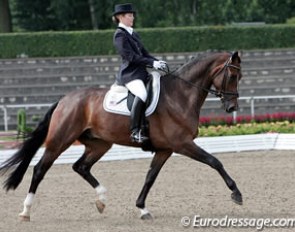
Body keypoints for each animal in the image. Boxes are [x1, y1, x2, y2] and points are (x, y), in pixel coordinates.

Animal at [0, 50, 243, 221]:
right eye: (232, 75)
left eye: (239, 76)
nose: (232, 107)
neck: (180, 95)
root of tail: (64, 99)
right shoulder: (182, 143)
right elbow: (214, 161)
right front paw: (236, 194)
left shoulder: (165, 149)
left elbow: (150, 177)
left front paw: (142, 209)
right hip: (60, 139)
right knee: (40, 169)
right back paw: (25, 211)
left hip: (99, 144)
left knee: (81, 166)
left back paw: (101, 200)